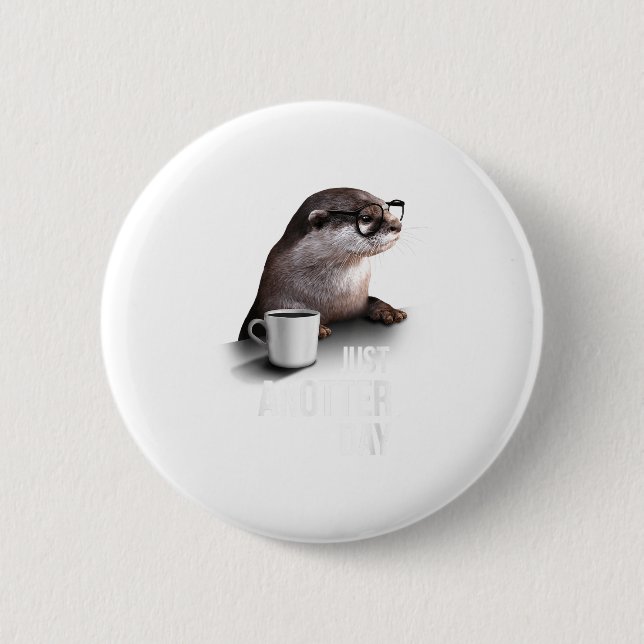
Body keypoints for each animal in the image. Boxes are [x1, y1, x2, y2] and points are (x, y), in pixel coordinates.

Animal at [239, 187, 407, 340]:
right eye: (366, 218)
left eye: (387, 209)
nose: (398, 225)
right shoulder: (273, 297)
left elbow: (373, 300)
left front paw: (389, 311)